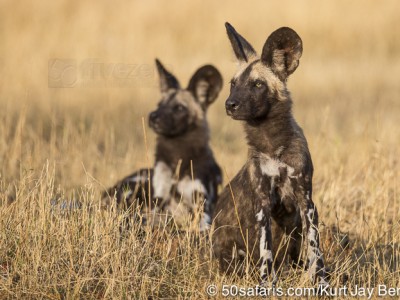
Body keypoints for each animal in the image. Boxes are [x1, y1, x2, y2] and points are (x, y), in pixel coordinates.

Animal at [101, 59, 223, 231]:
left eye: (179, 108)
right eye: (159, 104)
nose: (153, 116)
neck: (178, 157)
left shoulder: (202, 204)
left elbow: (202, 224)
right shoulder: (158, 200)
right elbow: (153, 217)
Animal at [212, 22, 328, 286]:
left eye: (257, 84)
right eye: (233, 84)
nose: (230, 104)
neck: (274, 147)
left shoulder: (306, 203)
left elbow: (315, 250)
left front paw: (321, 282)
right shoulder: (262, 204)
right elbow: (266, 252)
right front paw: (267, 285)